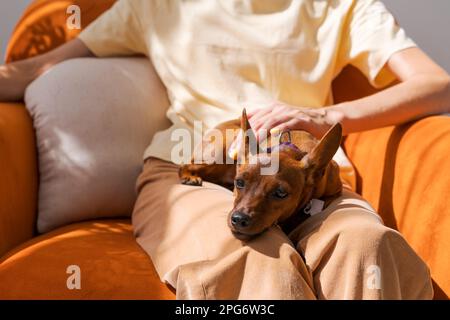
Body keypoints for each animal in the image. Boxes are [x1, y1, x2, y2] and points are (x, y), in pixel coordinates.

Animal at [179, 110, 342, 240]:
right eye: (239, 182)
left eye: (281, 193)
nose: (239, 219)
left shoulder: (335, 191)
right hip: (220, 155)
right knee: (185, 165)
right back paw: (189, 177)